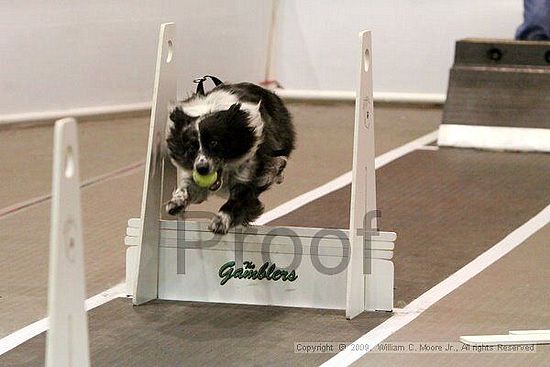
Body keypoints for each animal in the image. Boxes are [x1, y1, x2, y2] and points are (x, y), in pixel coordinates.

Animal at [167, 82, 298, 234]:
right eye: (191, 147)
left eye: (214, 142)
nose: (202, 169)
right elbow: (187, 187)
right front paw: (176, 202)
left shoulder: (248, 173)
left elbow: (237, 200)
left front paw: (220, 221)